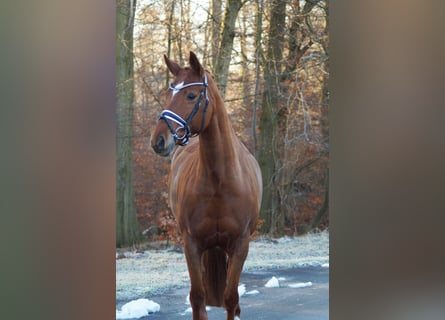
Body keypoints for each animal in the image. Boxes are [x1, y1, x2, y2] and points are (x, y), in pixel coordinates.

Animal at [150, 51, 260, 318]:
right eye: (168, 93)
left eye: (191, 95)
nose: (159, 140)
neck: (219, 182)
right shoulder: (191, 245)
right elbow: (198, 298)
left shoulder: (240, 245)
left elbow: (231, 299)